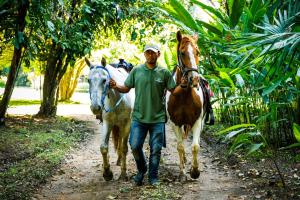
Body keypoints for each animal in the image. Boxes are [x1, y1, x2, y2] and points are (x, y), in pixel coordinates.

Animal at [168, 30, 207, 180]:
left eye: (198, 52)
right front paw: (182, 172)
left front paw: (195, 171)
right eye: (182, 52)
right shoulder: (175, 123)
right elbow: (180, 147)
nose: (194, 79)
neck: (184, 94)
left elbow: (195, 146)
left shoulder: (197, 121)